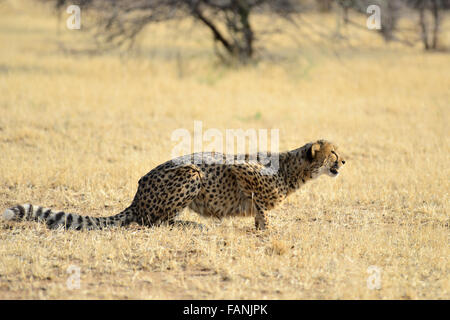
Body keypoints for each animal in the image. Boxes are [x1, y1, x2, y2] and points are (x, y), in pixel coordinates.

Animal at [1, 140, 344, 230]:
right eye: (334, 153)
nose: (344, 162)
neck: (295, 168)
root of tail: (138, 194)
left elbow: (261, 210)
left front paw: (262, 227)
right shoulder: (237, 166)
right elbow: (252, 190)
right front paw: (268, 228)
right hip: (190, 175)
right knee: (153, 222)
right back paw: (190, 225)